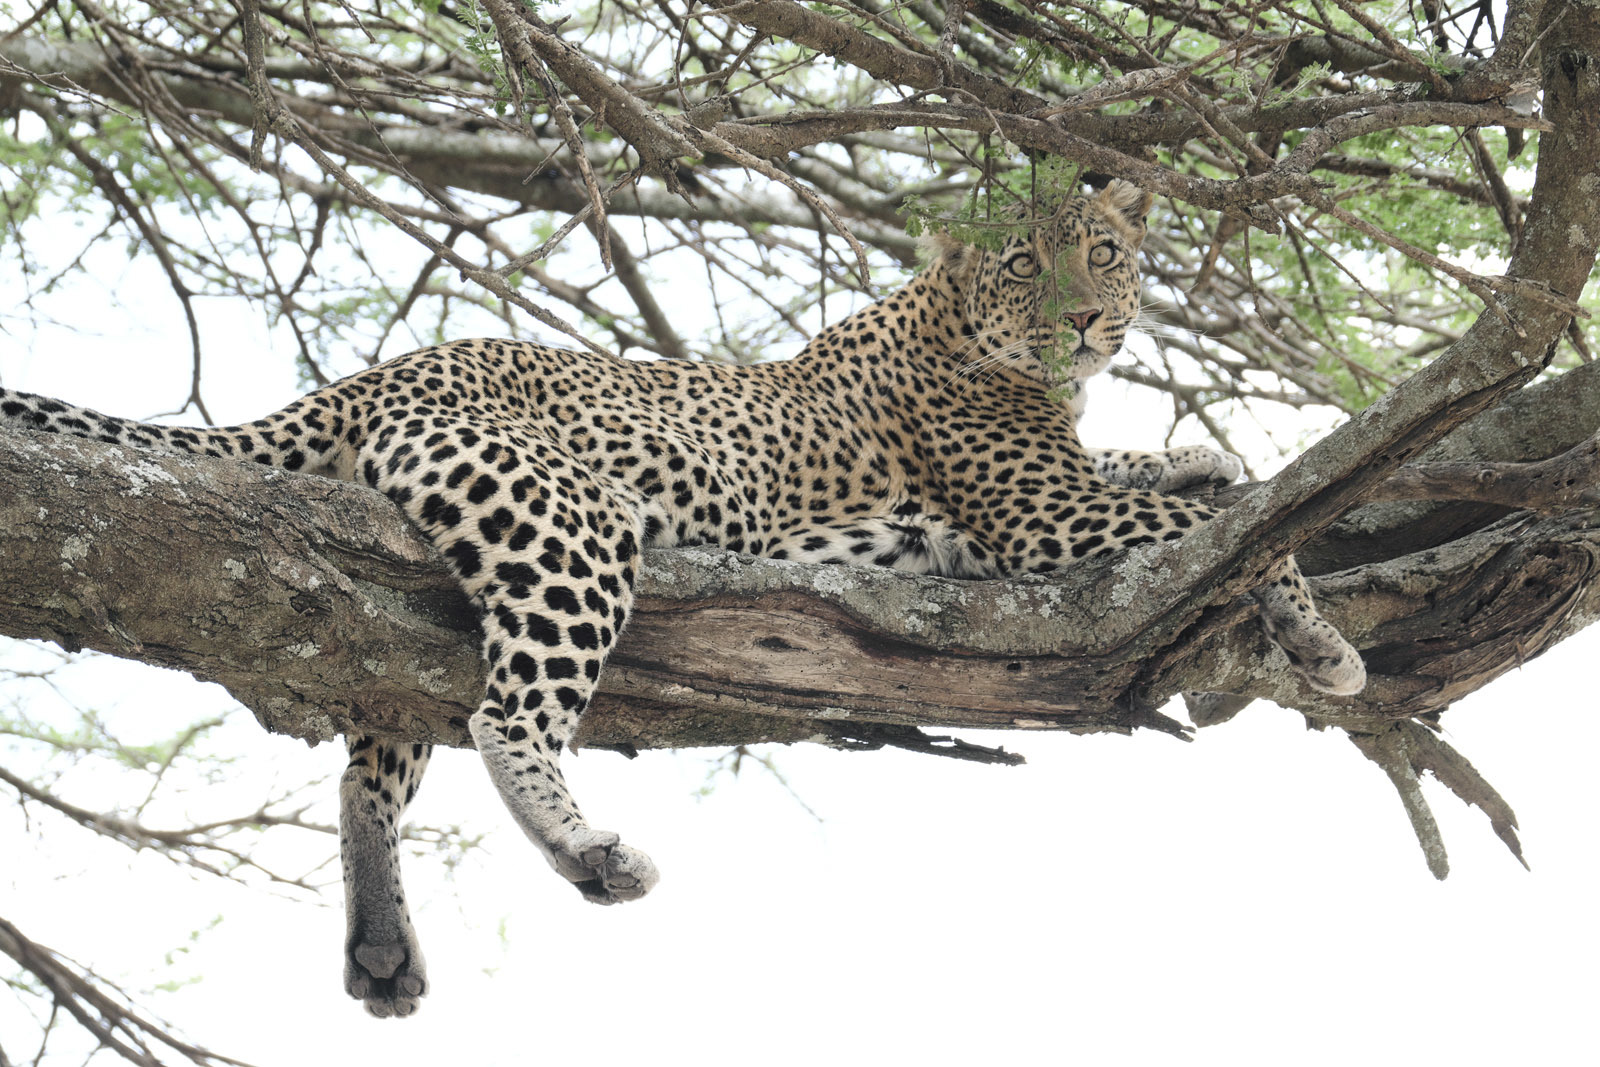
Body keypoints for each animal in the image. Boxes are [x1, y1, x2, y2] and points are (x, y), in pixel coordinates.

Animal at [0, 177, 1363, 1017]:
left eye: (1107, 252)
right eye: (1026, 264)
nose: (1084, 320)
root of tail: (375, 371)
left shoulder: (1070, 485)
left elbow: (1181, 481)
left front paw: (1203, 454)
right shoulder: (1042, 519)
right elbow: (1239, 539)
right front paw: (1319, 635)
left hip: (406, 606)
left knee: (372, 758)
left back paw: (382, 941)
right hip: (569, 528)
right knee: (508, 715)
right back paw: (590, 851)